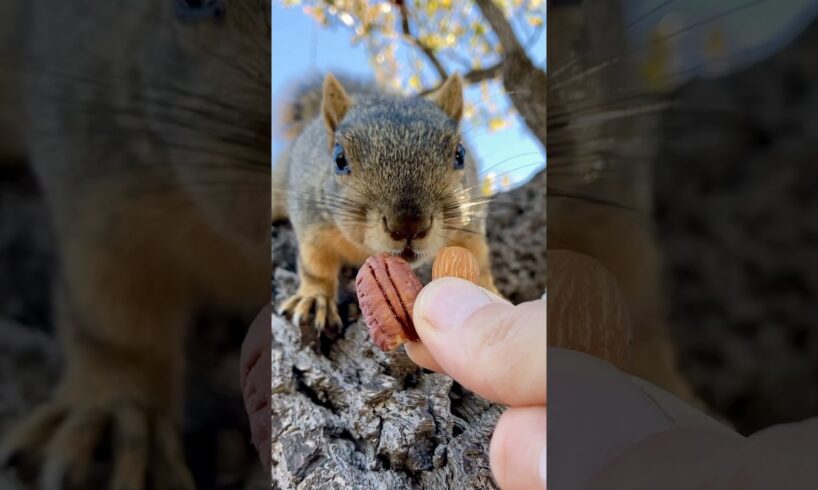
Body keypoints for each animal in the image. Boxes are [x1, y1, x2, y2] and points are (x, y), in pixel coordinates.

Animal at [272, 73, 499, 332]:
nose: (408, 227)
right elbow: (315, 264)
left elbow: (477, 256)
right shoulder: (312, 219)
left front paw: (487, 290)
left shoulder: (470, 225)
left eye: (460, 154)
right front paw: (315, 297)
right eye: (339, 158)